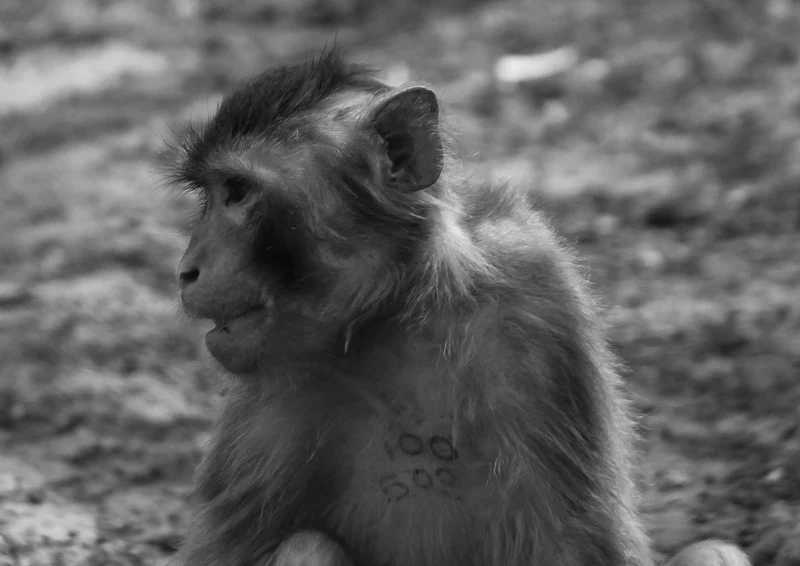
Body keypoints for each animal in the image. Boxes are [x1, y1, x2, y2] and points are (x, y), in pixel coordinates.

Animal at [166, 48, 752, 566]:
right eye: (212, 194)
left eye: (238, 192)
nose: (187, 268)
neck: (391, 318)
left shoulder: (537, 307)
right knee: (309, 547)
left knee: (714, 552)